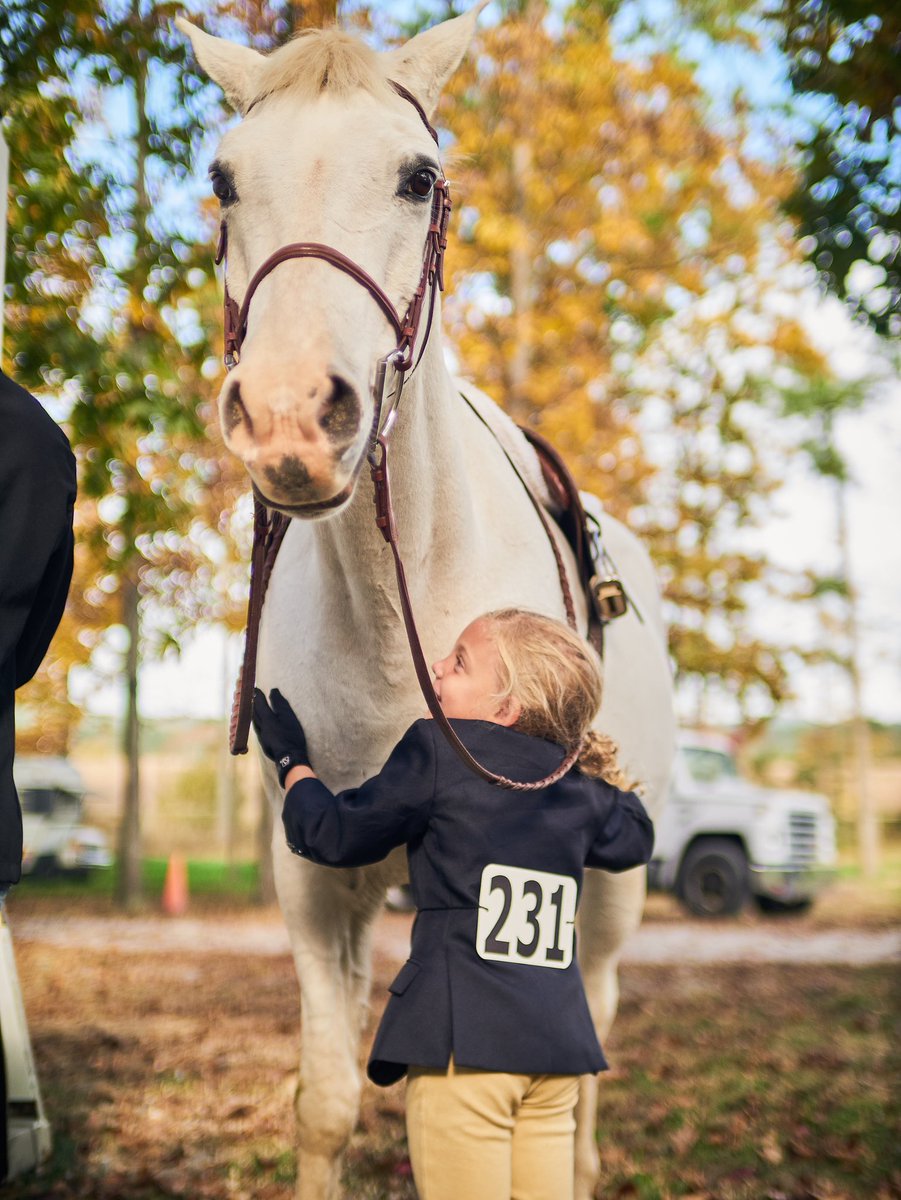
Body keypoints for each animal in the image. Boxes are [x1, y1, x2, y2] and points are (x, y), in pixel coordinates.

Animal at [177, 7, 675, 1198]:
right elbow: (324, 1104)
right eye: (223, 180)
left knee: (589, 1052)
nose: (290, 418)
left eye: (417, 178)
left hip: (617, 902)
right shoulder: (316, 886)